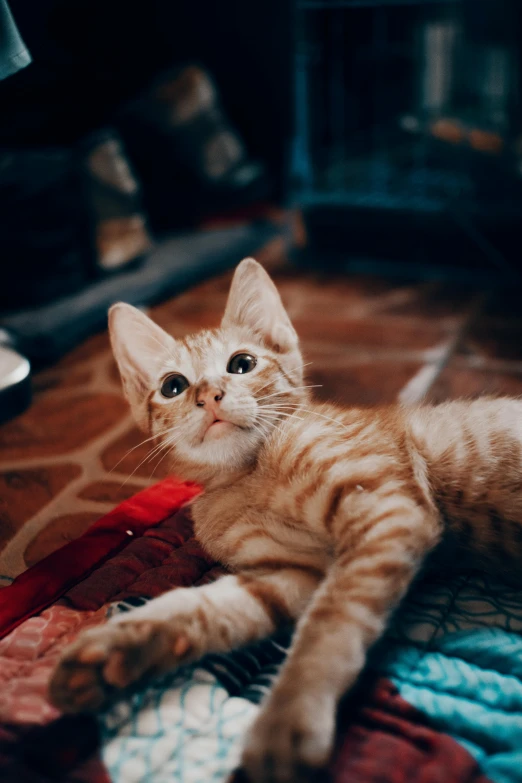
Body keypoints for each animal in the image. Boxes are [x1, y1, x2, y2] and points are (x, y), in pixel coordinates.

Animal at [48, 258, 520, 783]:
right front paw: (118, 649)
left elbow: (328, 623)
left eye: (241, 364)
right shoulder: (289, 574)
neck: (249, 474)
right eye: (173, 386)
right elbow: (201, 605)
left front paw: (289, 717)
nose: (210, 395)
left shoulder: (387, 508)